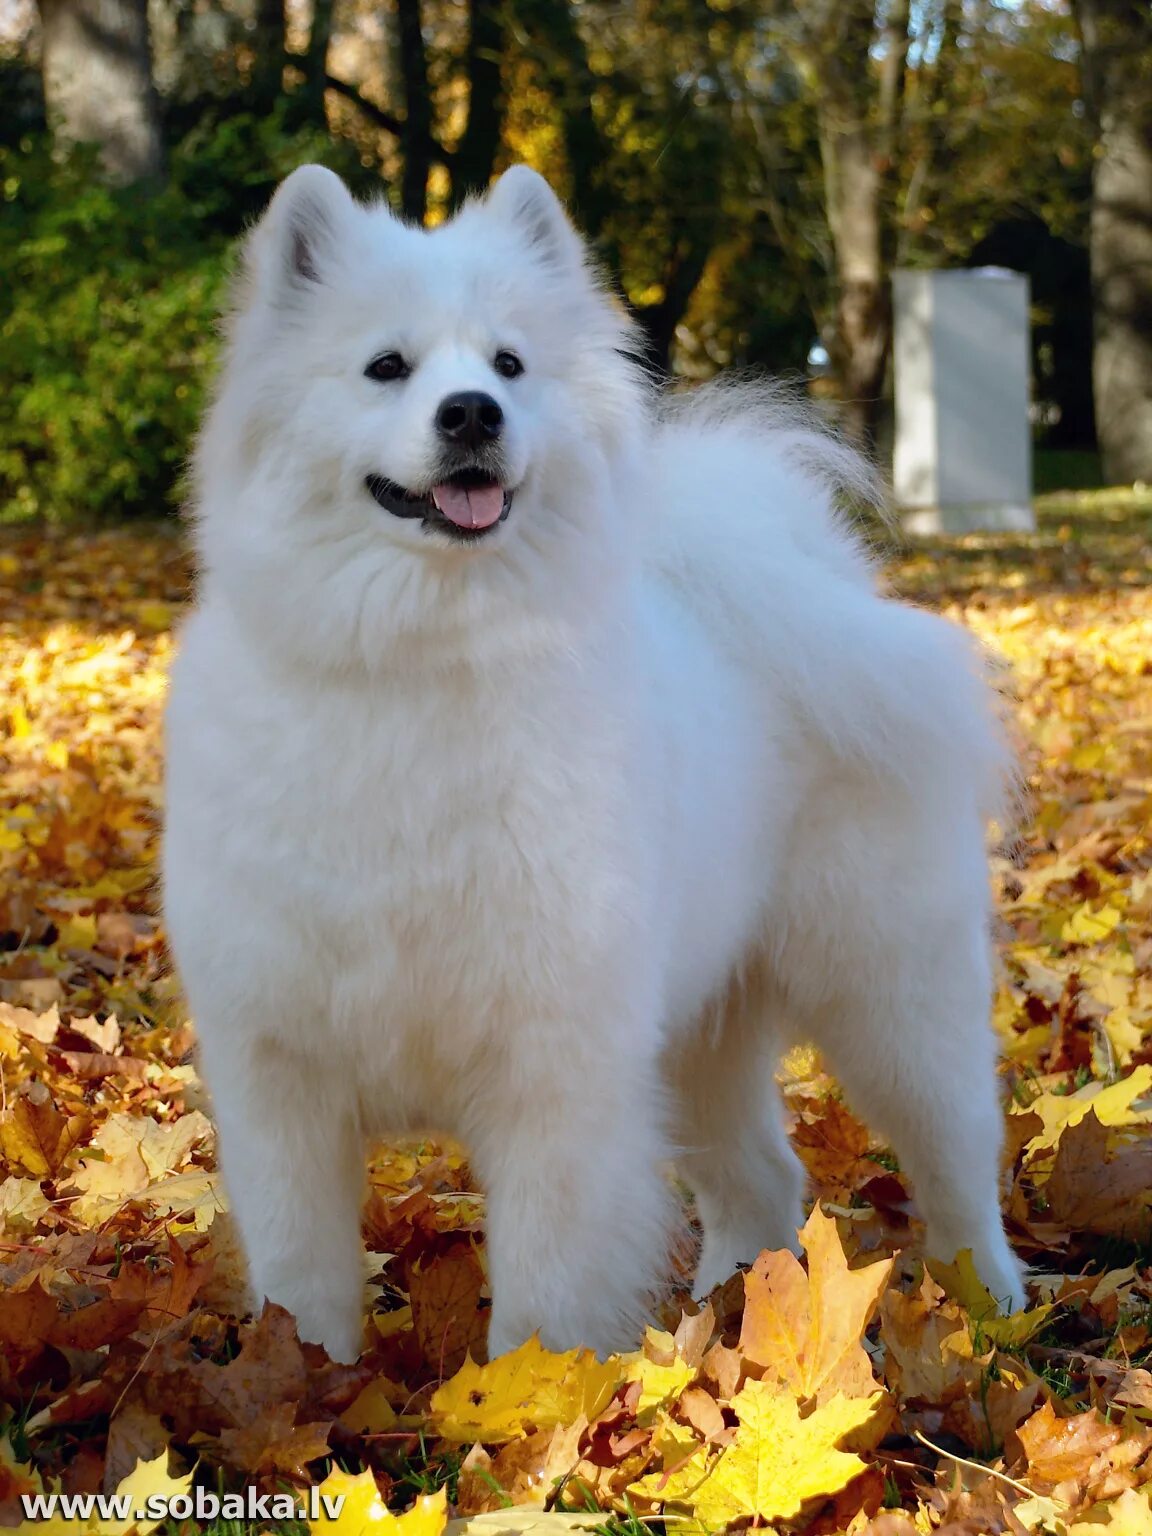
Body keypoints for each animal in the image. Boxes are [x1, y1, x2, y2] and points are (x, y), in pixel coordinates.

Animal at [162, 162, 1026, 1363]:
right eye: (387, 367)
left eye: (509, 366)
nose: (472, 413)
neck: (427, 659)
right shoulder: (282, 1077)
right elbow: (305, 1282)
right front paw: (302, 1385)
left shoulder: (555, 1070)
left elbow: (544, 1298)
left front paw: (535, 1405)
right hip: (698, 1037)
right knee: (763, 1180)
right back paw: (729, 1322)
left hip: (891, 996)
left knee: (957, 1166)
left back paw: (992, 1310)